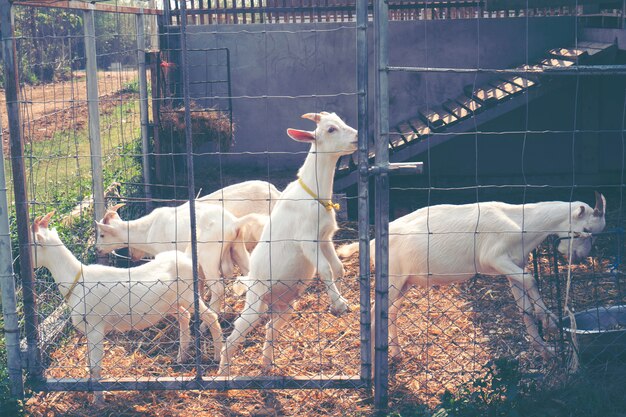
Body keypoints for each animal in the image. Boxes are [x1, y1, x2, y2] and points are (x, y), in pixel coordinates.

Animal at [32, 213, 222, 402]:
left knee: (211, 317)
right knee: (184, 317)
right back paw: (181, 357)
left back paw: (217, 357)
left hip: (189, 294)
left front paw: (98, 400)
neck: (77, 281)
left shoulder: (95, 328)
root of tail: (187, 258)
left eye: (34, 243)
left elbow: (95, 366)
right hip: (170, 303)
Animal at [94, 202, 249, 312]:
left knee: (218, 288)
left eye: (102, 234)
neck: (148, 228)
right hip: (237, 248)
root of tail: (234, 224)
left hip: (208, 256)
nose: (96, 249)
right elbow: (198, 282)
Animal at [218, 111, 356, 374]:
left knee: (270, 329)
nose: (357, 137)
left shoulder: (325, 238)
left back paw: (267, 365)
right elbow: (325, 269)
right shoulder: (308, 240)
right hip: (255, 304)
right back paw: (223, 371)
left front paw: (339, 301)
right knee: (234, 336)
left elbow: (338, 268)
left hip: (285, 308)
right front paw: (339, 303)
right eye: (331, 129)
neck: (312, 193)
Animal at [336, 192, 604, 364]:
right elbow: (531, 279)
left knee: (390, 312)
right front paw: (548, 319)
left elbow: (524, 307)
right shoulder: (494, 258)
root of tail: (372, 243)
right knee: (375, 312)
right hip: (392, 278)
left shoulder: (513, 267)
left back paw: (396, 352)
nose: (580, 257)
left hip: (405, 282)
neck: (520, 221)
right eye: (586, 230)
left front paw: (546, 349)